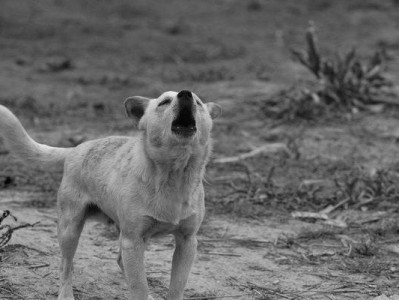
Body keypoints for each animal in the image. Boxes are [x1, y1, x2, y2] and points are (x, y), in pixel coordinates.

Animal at [0, 89, 222, 300]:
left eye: (198, 102)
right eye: (164, 102)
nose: (186, 94)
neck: (173, 175)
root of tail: (75, 149)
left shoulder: (187, 242)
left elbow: (175, 287)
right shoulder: (133, 241)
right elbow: (138, 287)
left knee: (119, 261)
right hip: (70, 229)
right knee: (66, 265)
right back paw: (66, 295)